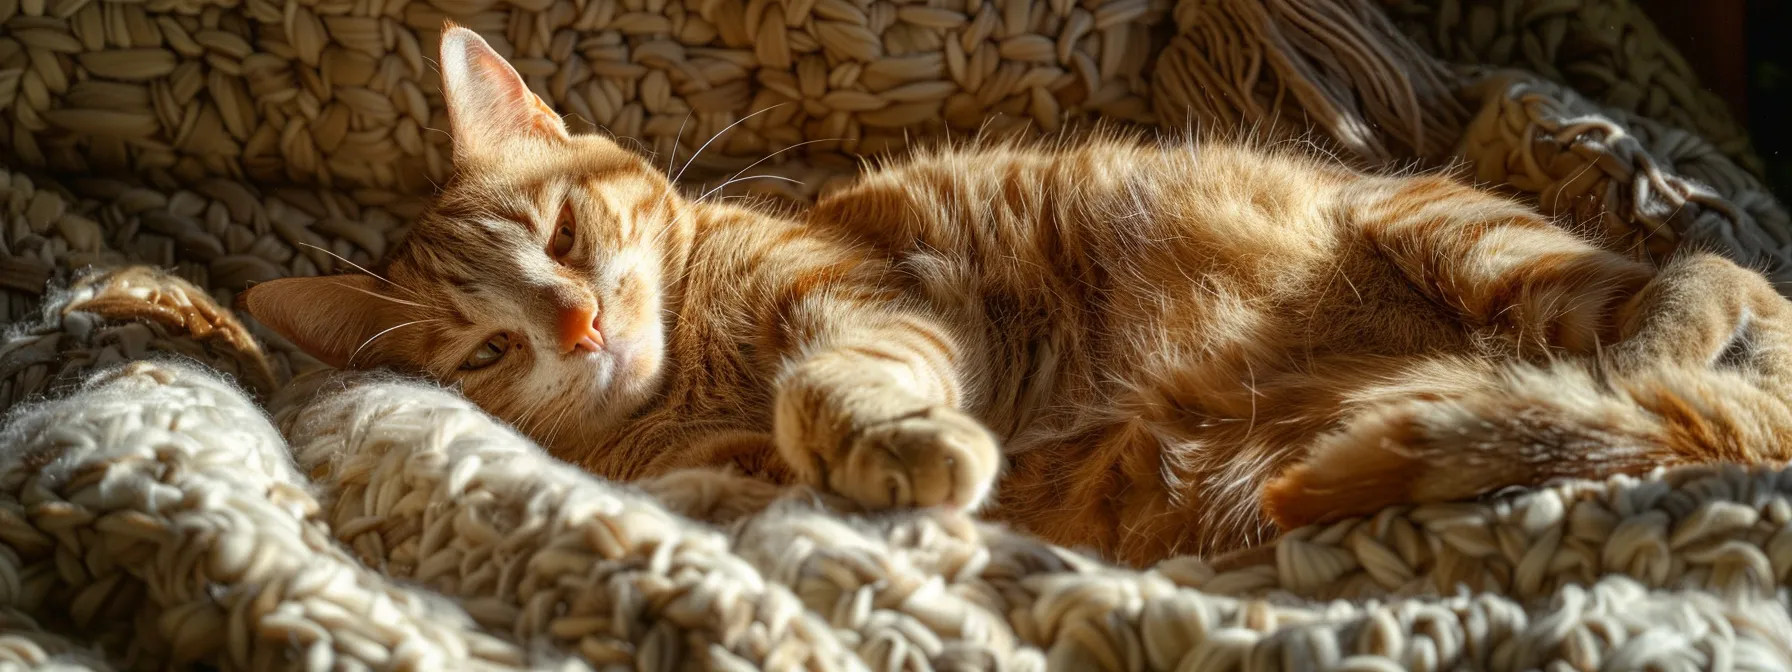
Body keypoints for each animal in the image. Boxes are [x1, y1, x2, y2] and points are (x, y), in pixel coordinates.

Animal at [241, 24, 1792, 562]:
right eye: (482, 356)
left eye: (562, 234)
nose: (580, 325)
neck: (693, 373)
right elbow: (744, 470)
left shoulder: (871, 301)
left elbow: (840, 376)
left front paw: (891, 439)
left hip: (1476, 244)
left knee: (1706, 291)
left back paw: (1652, 352)